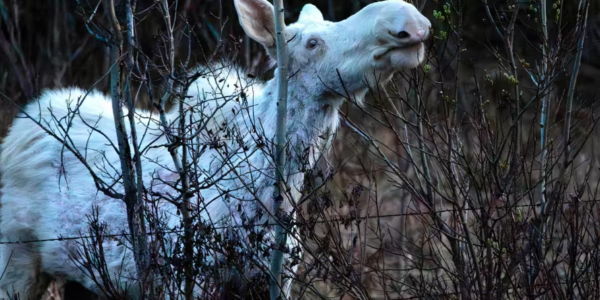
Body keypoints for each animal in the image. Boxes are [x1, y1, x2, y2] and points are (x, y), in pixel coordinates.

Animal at [0, 0, 432, 298]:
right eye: (312, 42)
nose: (409, 23)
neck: (271, 193)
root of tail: (20, 124)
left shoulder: (273, 279)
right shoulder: (185, 278)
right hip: (16, 263)